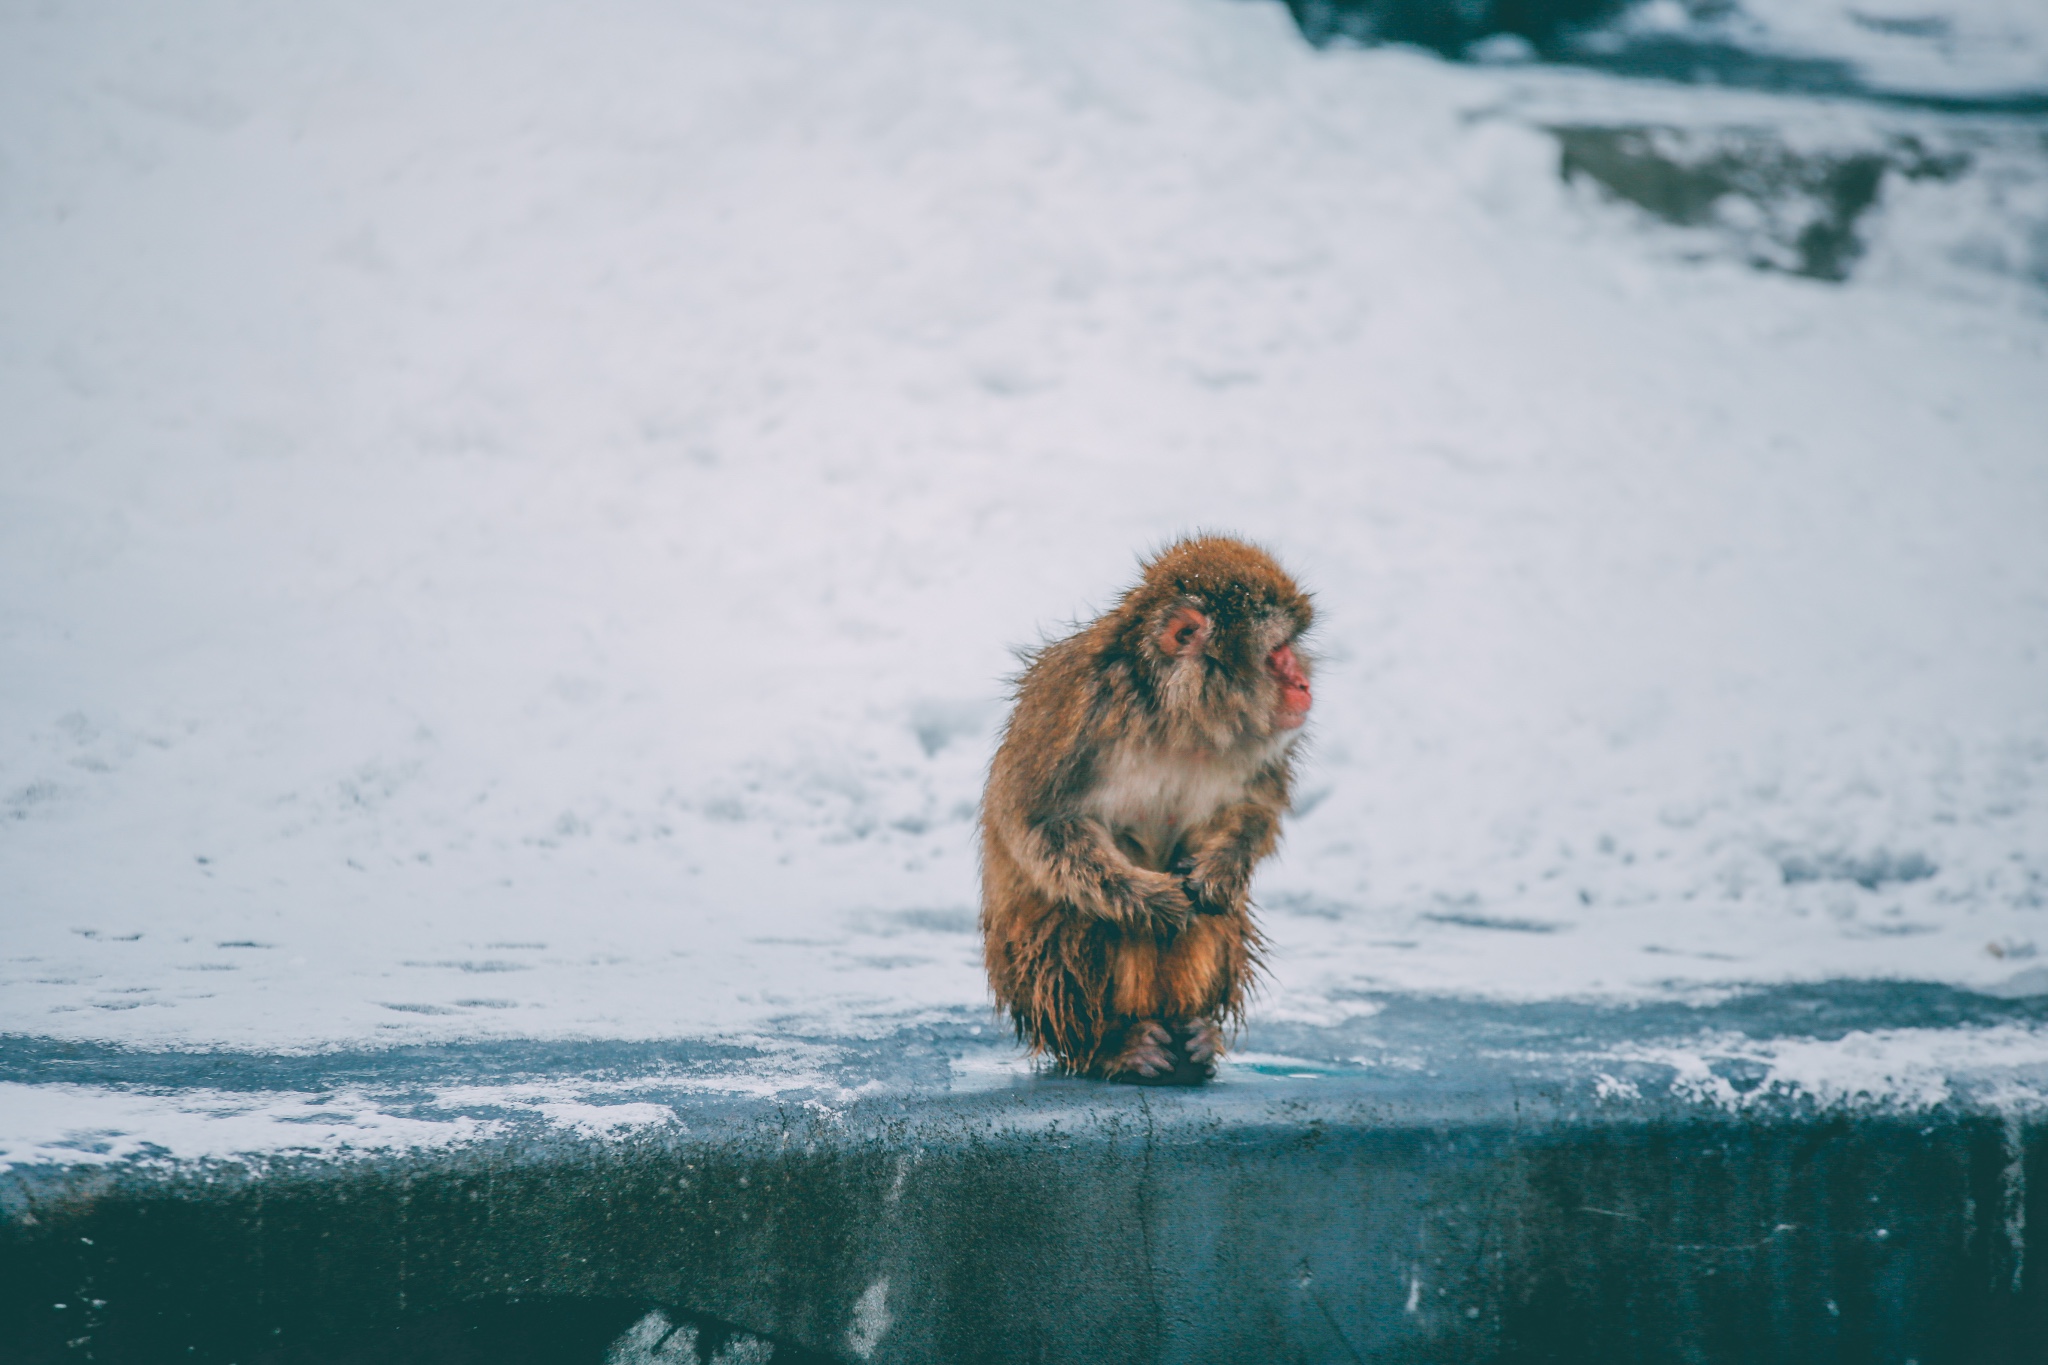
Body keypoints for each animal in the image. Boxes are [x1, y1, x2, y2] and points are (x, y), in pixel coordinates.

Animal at [983, 540, 1318, 1080]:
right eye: (1275, 655)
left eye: (1289, 650)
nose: (1304, 684)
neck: (1176, 716)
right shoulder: (1075, 706)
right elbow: (1035, 824)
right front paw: (1151, 900)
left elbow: (1254, 809)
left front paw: (1220, 869)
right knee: (1083, 914)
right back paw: (1111, 1046)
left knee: (1214, 914)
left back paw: (1196, 1032)